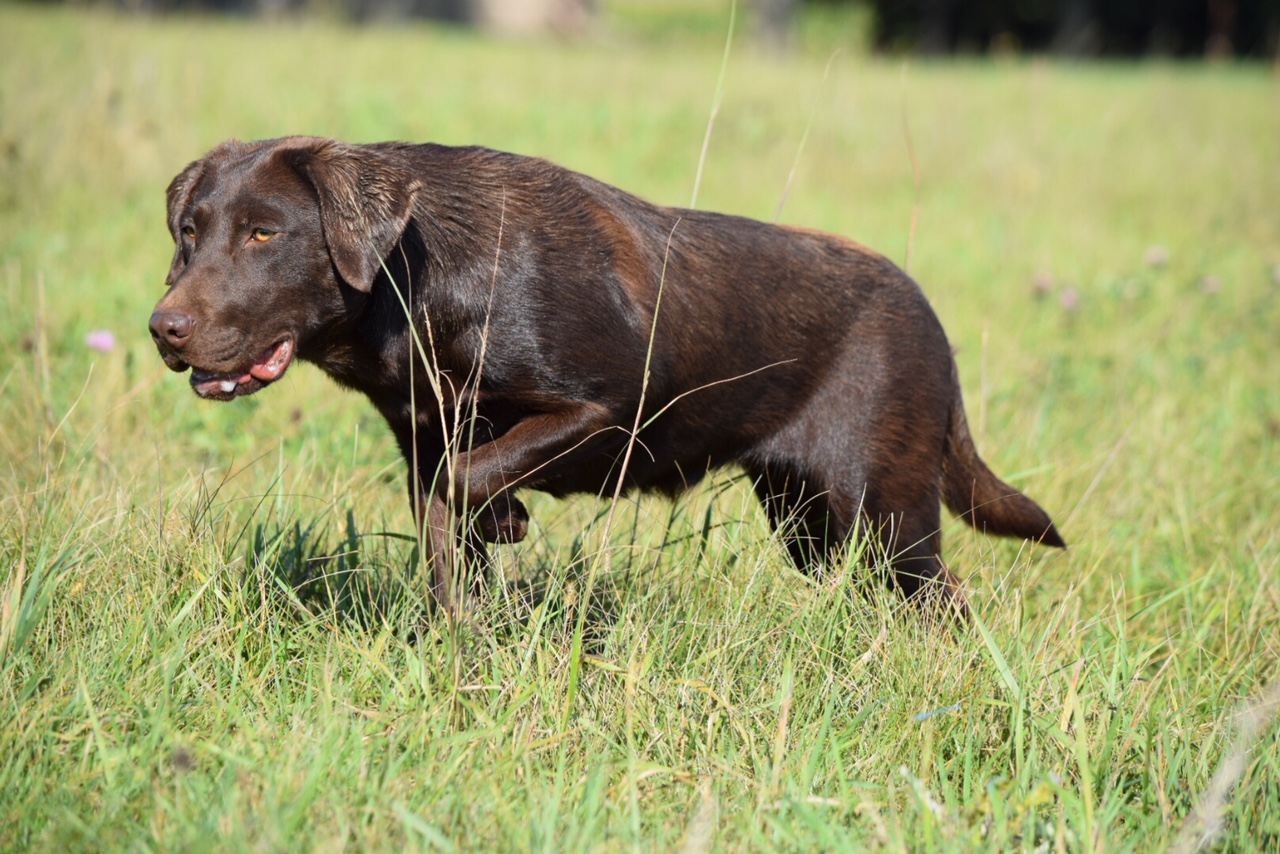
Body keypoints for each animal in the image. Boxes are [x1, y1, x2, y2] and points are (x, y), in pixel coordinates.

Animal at [149, 138, 1064, 622]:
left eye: (265, 234)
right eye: (189, 232)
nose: (165, 330)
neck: (420, 287)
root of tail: (928, 313)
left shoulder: (606, 410)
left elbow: (474, 477)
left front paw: (509, 519)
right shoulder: (420, 444)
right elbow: (450, 542)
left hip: (886, 511)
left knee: (945, 600)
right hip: (810, 520)